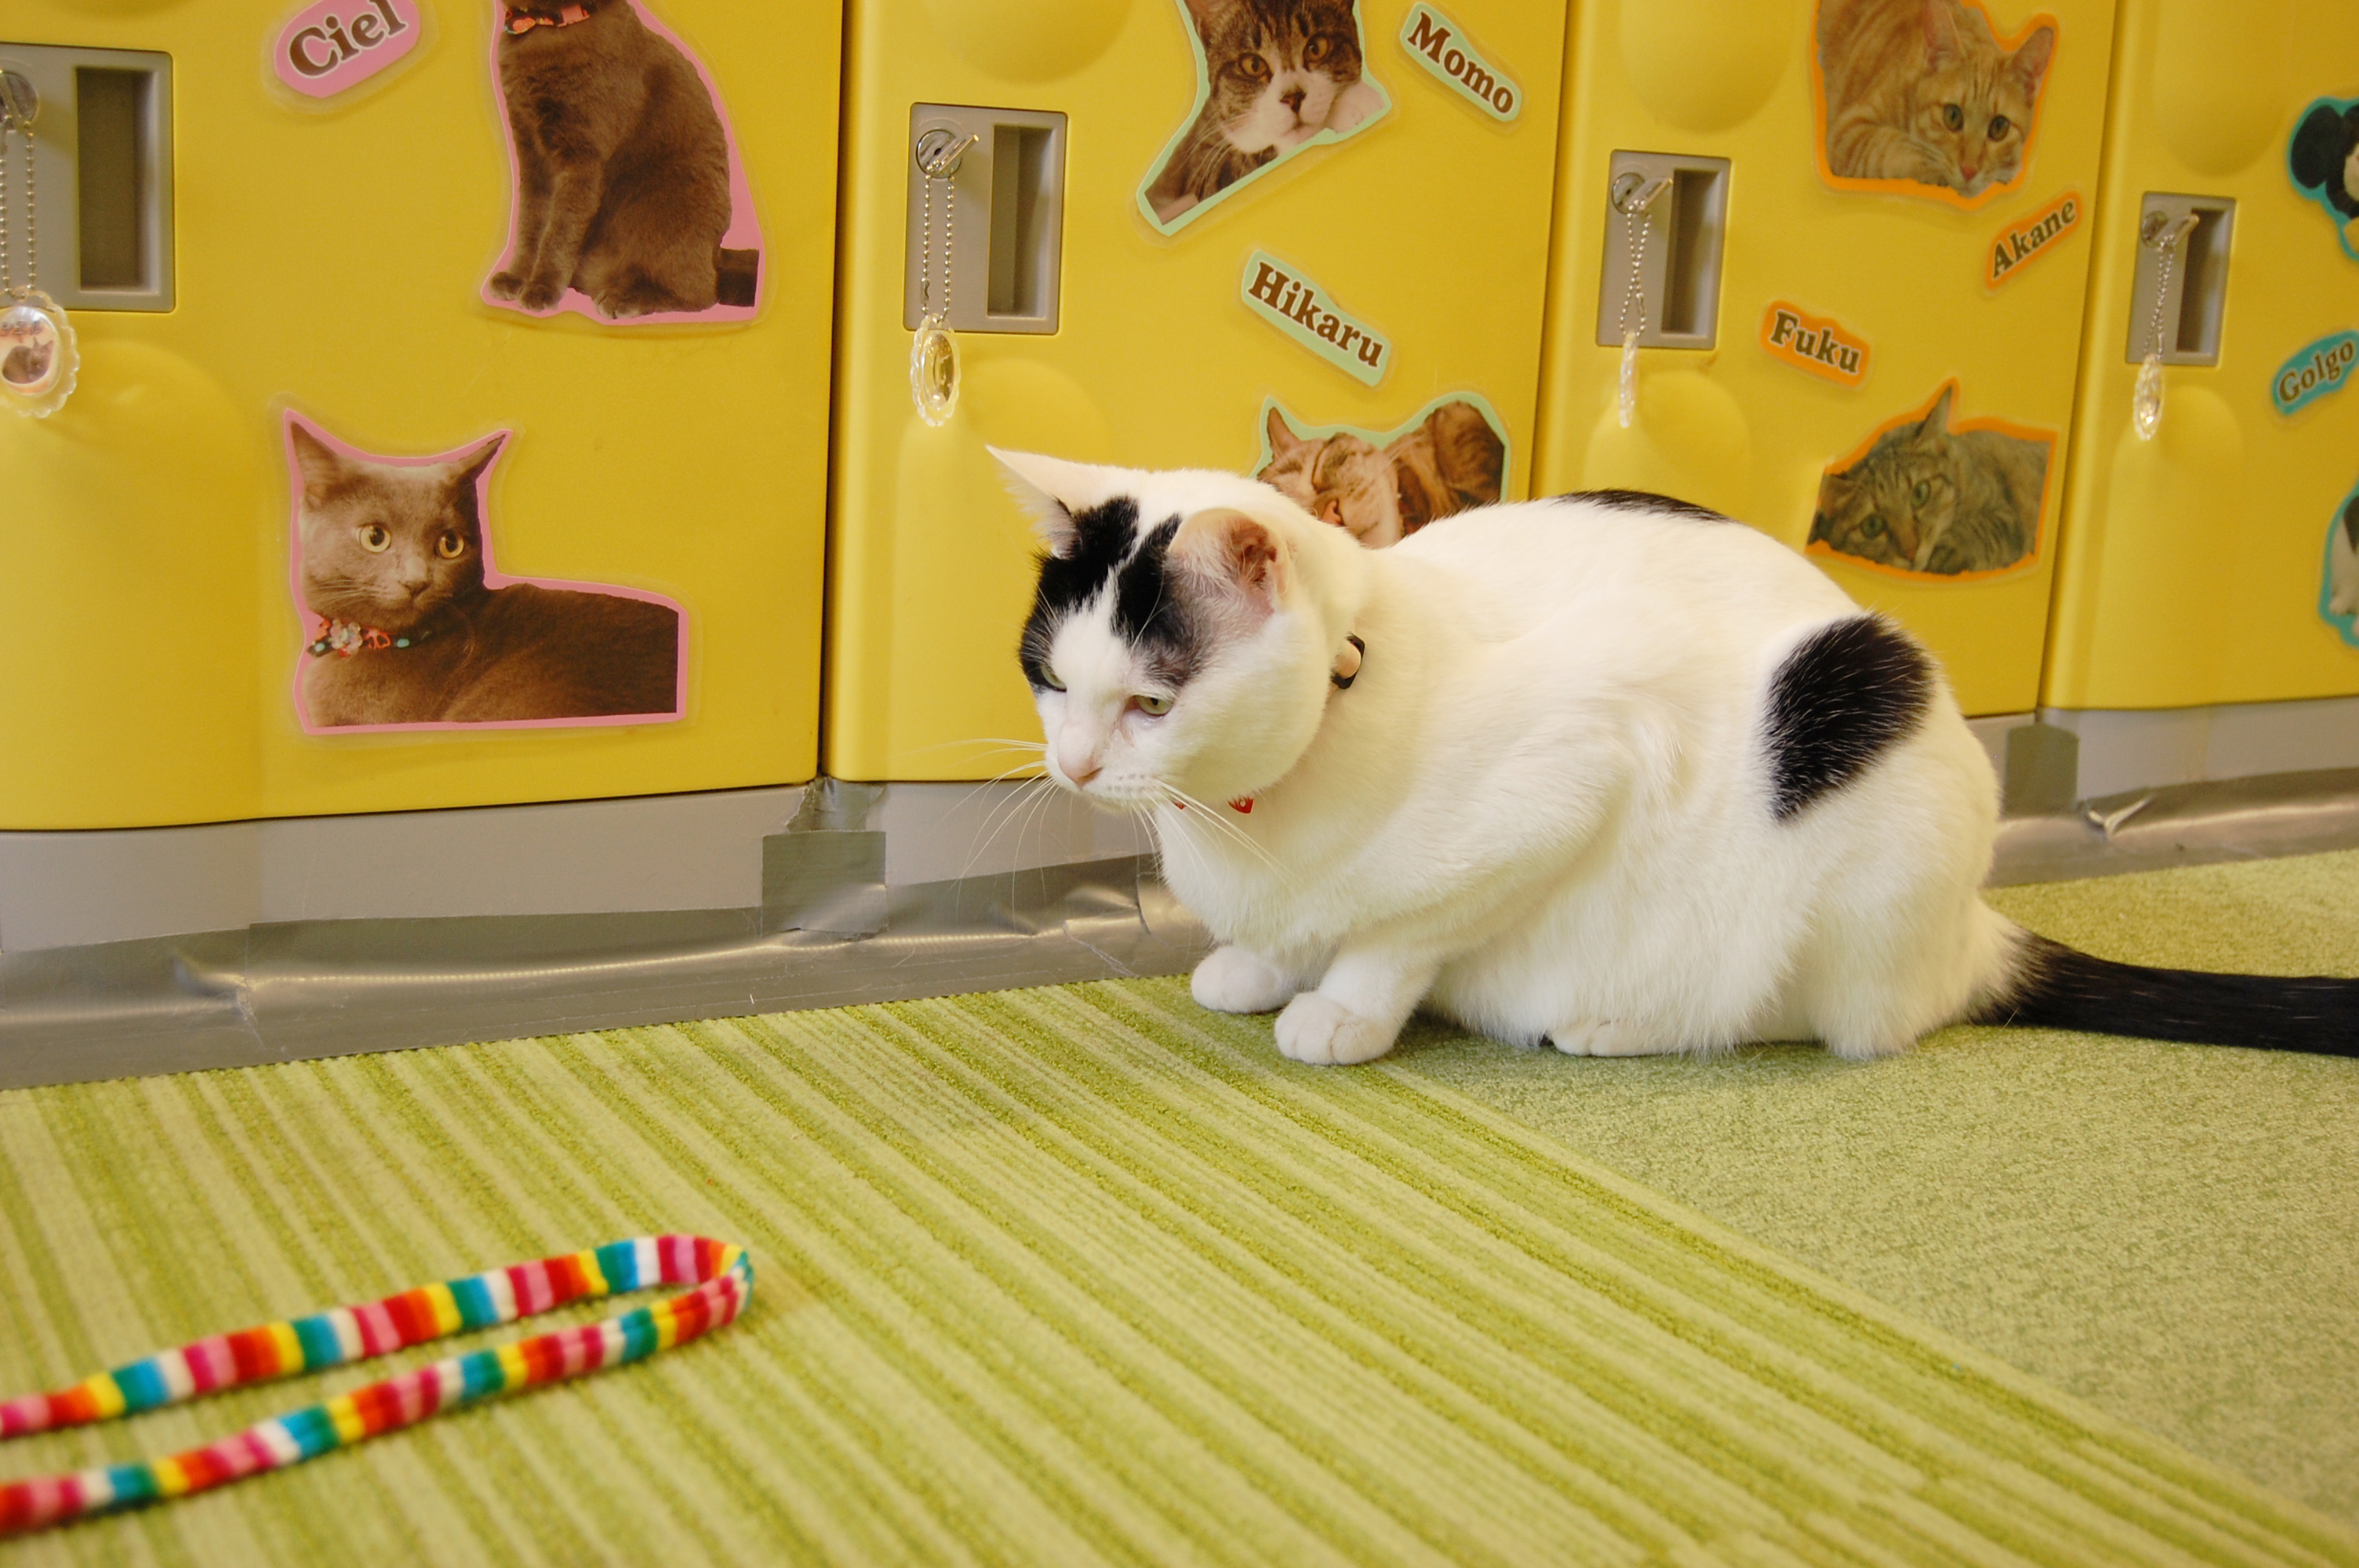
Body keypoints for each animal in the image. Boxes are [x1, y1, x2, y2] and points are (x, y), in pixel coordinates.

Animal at [488, 0, 759, 318]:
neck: (547, 27)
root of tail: (716, 254)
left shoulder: (582, 157)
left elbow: (559, 231)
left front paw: (541, 288)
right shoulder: (530, 151)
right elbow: (531, 222)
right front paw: (517, 278)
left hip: (667, 205)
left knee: (701, 292)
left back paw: (624, 299)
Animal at [995, 449, 2358, 1066]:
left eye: (1152, 702)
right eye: (1053, 677)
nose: (1072, 771)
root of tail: (1971, 933)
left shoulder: (1578, 766)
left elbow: (1403, 932)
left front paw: (1341, 1008)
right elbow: (1296, 929)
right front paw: (1265, 966)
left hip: (1850, 756)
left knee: (1820, 1023)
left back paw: (1610, 1023)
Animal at [1810, 385, 2046, 574]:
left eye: (1920, 494)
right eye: (1872, 525)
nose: (1911, 551)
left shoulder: (2007, 513)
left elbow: (1982, 528)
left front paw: (1952, 548)